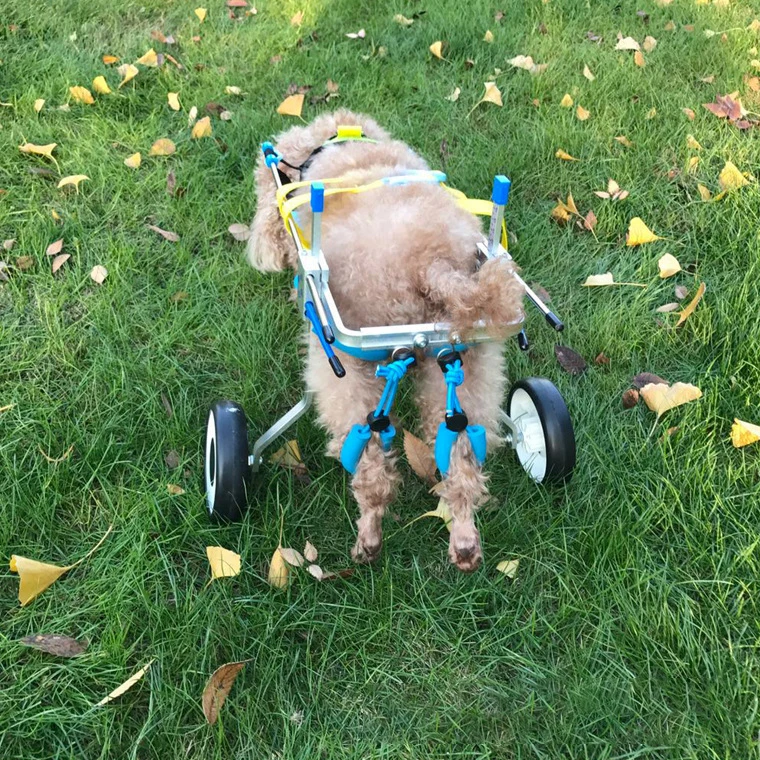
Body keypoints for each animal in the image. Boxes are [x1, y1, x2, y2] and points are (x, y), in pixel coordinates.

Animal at [249, 108, 524, 568]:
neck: (335, 145)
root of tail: (432, 264)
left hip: (345, 370)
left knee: (371, 462)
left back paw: (369, 536)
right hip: (468, 363)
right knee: (463, 456)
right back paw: (464, 540)